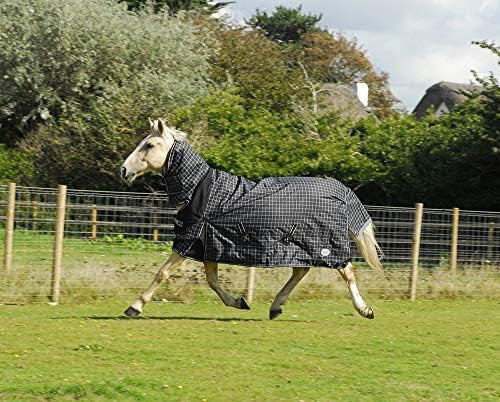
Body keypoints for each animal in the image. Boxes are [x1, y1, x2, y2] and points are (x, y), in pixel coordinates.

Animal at [120, 117, 382, 320]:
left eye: (149, 144)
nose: (123, 170)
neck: (200, 190)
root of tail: (340, 190)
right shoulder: (208, 243)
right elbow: (212, 280)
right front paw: (239, 302)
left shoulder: (189, 240)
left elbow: (163, 272)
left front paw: (134, 307)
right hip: (300, 244)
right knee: (300, 271)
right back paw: (276, 307)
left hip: (323, 245)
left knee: (347, 271)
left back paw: (365, 310)